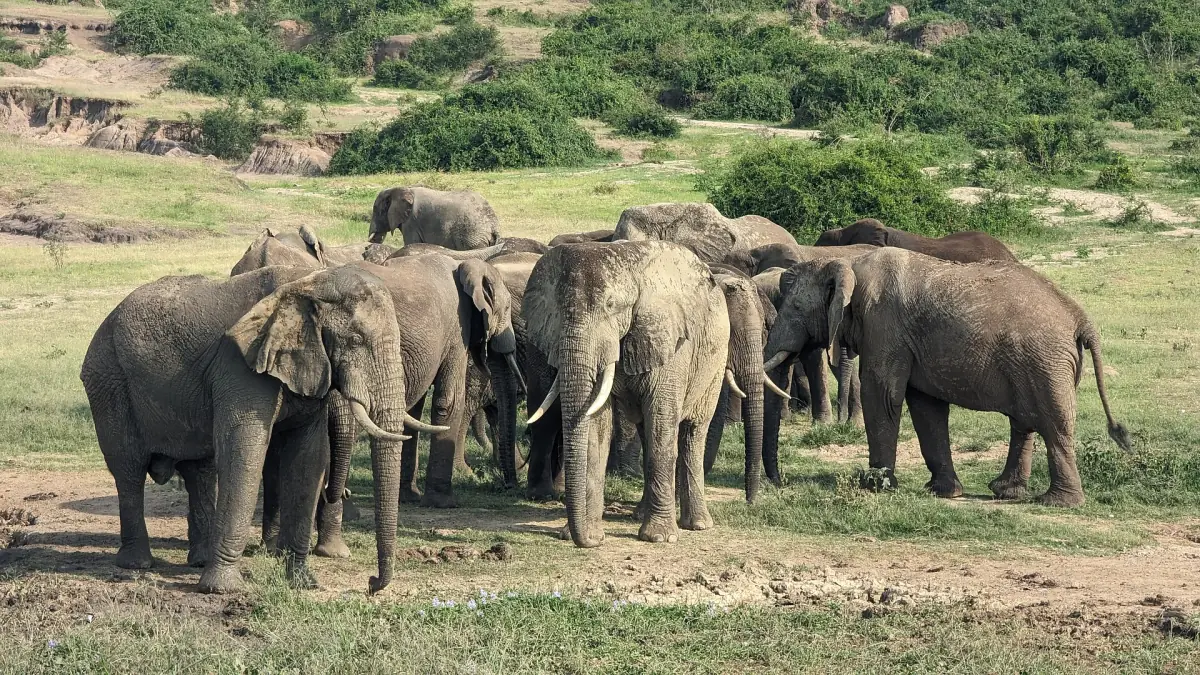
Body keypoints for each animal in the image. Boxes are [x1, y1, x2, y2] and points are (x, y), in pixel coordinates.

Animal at [80, 265, 415, 594]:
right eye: (355, 340)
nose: (371, 584)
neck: (309, 280)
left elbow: (308, 458)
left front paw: (302, 583)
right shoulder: (240, 366)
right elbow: (244, 452)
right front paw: (223, 590)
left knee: (200, 470)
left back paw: (199, 560)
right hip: (108, 381)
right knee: (129, 468)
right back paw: (137, 564)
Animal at [522, 241, 729, 546]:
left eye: (611, 306)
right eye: (557, 312)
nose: (589, 541)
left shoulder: (670, 340)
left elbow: (662, 420)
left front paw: (660, 538)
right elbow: (596, 424)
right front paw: (585, 534)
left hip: (716, 360)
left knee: (692, 432)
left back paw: (697, 524)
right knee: (646, 431)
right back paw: (640, 514)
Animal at [763, 248, 1131, 506]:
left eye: (795, 308)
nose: (779, 482)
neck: (845, 262)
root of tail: (1079, 317)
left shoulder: (885, 325)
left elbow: (882, 395)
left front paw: (874, 486)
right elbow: (926, 407)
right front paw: (941, 492)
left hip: (1045, 360)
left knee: (1054, 424)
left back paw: (1057, 502)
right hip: (1035, 361)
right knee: (1024, 421)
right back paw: (1006, 492)